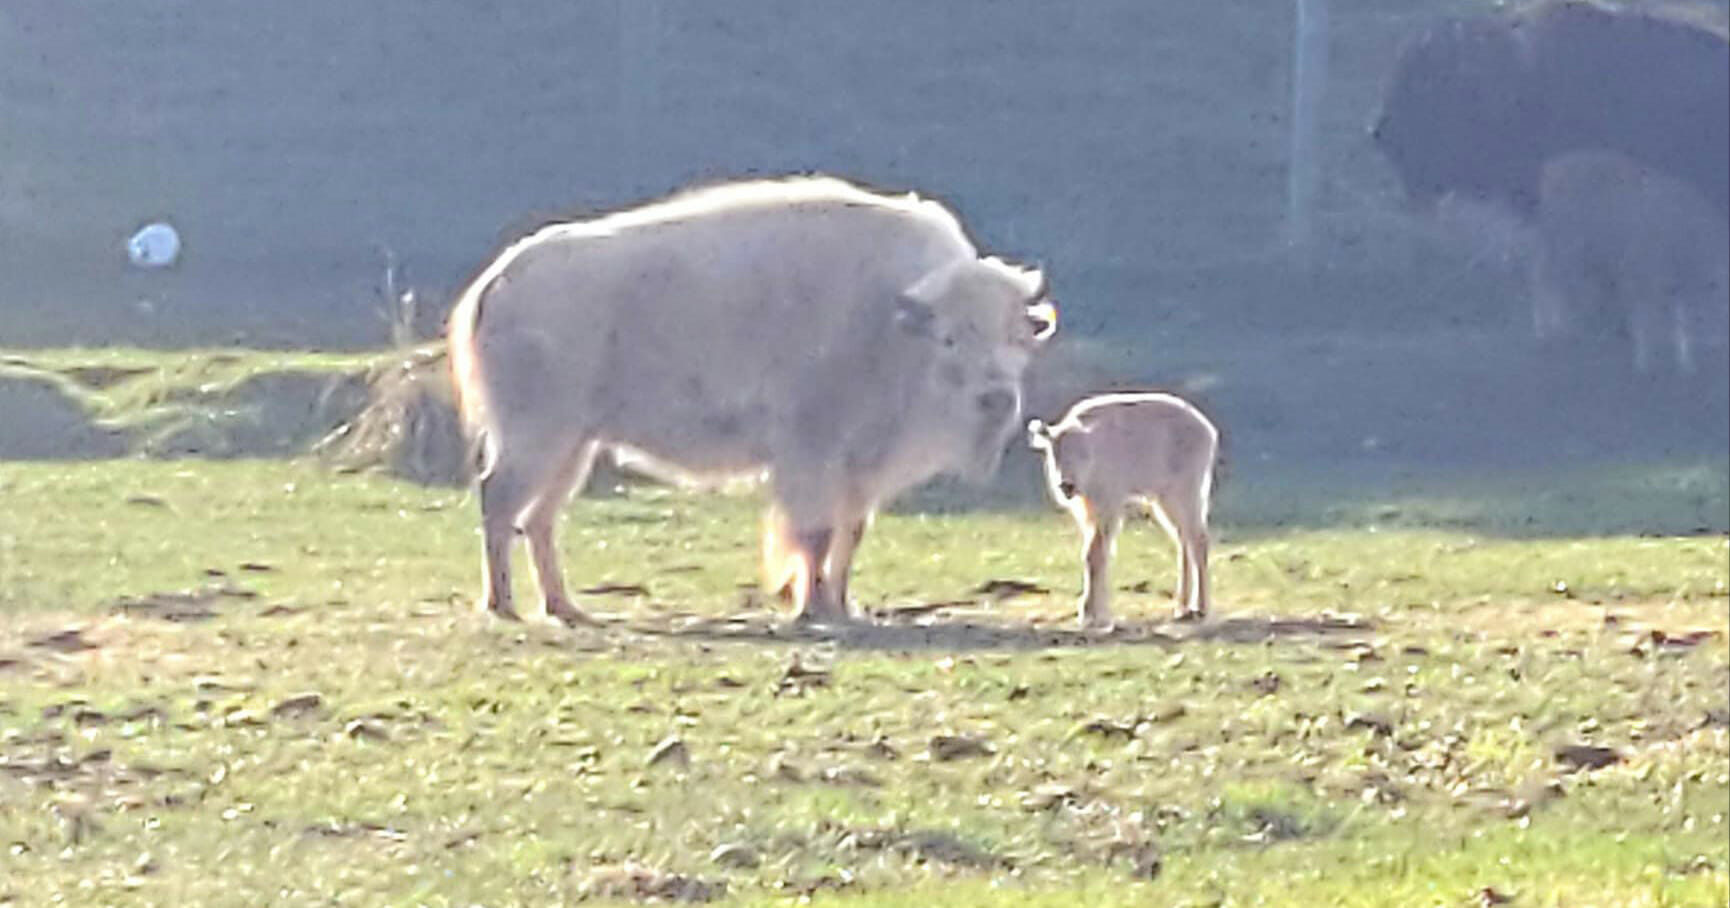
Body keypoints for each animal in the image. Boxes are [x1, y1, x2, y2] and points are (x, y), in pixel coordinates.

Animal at [449, 176, 1051, 622]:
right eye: (950, 338)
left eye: (1018, 338)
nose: (997, 398)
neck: (891, 322)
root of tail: (498, 280)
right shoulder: (811, 451)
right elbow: (813, 533)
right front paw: (811, 608)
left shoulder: (860, 468)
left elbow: (849, 534)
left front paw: (842, 605)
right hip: (538, 436)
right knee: (499, 500)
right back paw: (504, 606)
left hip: (574, 445)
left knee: (539, 517)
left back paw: (565, 608)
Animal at [1031, 389, 1224, 629]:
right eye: (1054, 452)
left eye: (1083, 453)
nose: (1066, 485)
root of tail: (1208, 431)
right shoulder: (1088, 510)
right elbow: (1096, 553)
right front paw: (1096, 612)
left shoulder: (1109, 507)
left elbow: (1095, 554)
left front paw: (1091, 614)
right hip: (1163, 501)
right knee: (1184, 541)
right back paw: (1182, 608)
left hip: (1184, 494)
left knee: (1198, 540)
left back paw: (1200, 608)